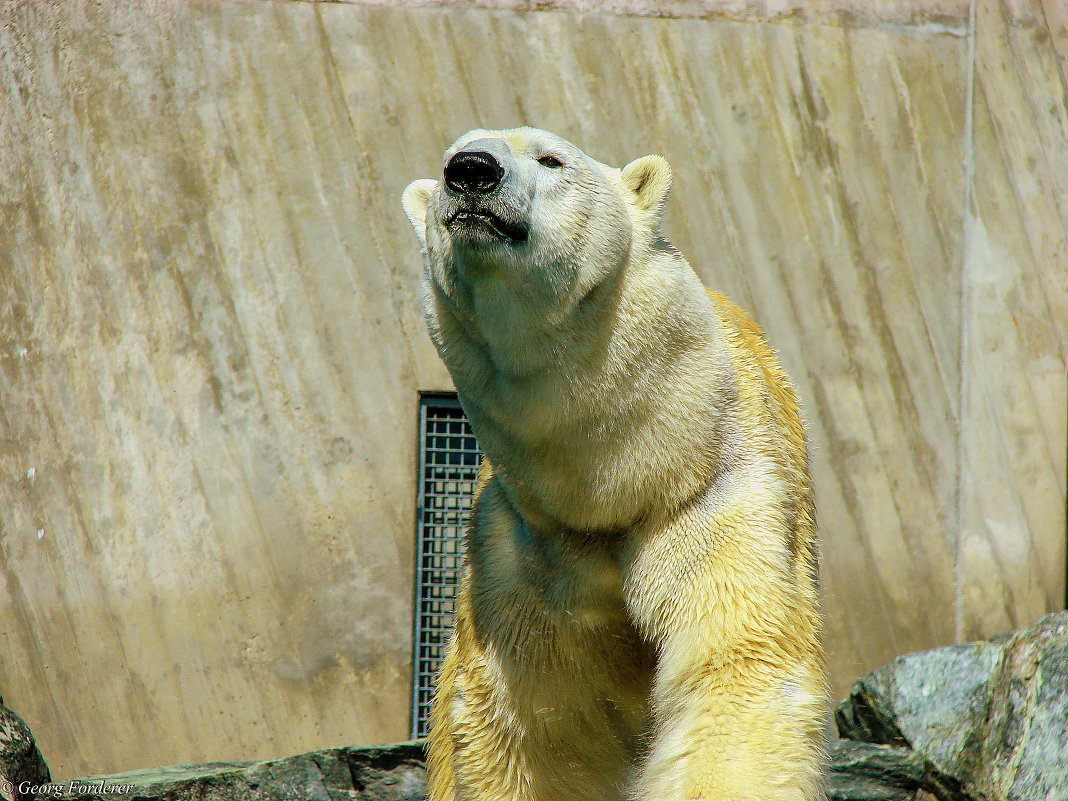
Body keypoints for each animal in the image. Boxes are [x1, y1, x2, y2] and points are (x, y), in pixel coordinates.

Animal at [401, 128, 824, 798]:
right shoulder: (523, 547)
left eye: (551, 158)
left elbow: (737, 660)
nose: (471, 171)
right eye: (449, 158)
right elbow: (530, 719)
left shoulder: (720, 490)